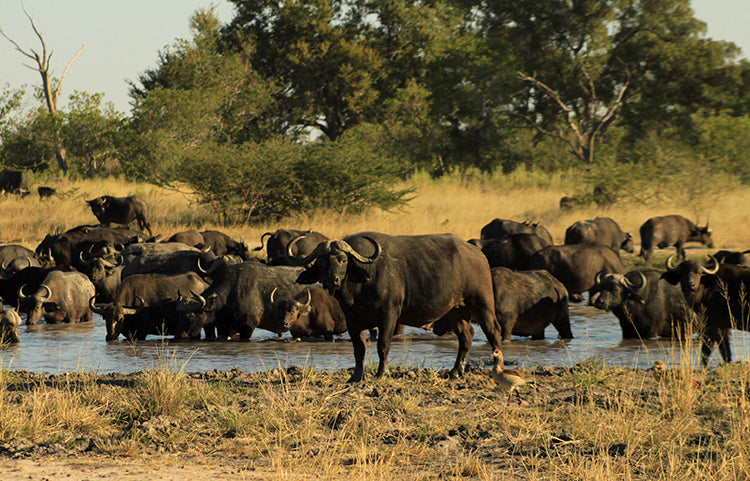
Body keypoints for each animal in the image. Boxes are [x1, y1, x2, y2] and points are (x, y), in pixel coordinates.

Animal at [288, 232, 506, 382]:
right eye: (321, 261)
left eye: (343, 260)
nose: (331, 280)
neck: (360, 286)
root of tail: (478, 255)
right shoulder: (353, 320)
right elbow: (359, 349)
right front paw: (356, 376)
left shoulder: (389, 315)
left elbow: (382, 345)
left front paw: (381, 373)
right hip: (454, 311)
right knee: (467, 335)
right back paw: (455, 371)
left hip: (482, 303)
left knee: (493, 332)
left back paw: (497, 366)